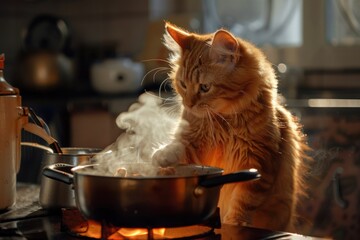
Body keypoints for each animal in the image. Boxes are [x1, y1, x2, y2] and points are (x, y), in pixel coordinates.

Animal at [153, 23, 310, 232]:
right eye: (183, 84)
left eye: (204, 87)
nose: (188, 104)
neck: (224, 122)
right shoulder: (195, 145)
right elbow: (180, 148)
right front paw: (162, 158)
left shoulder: (260, 162)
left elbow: (243, 201)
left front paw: (235, 223)